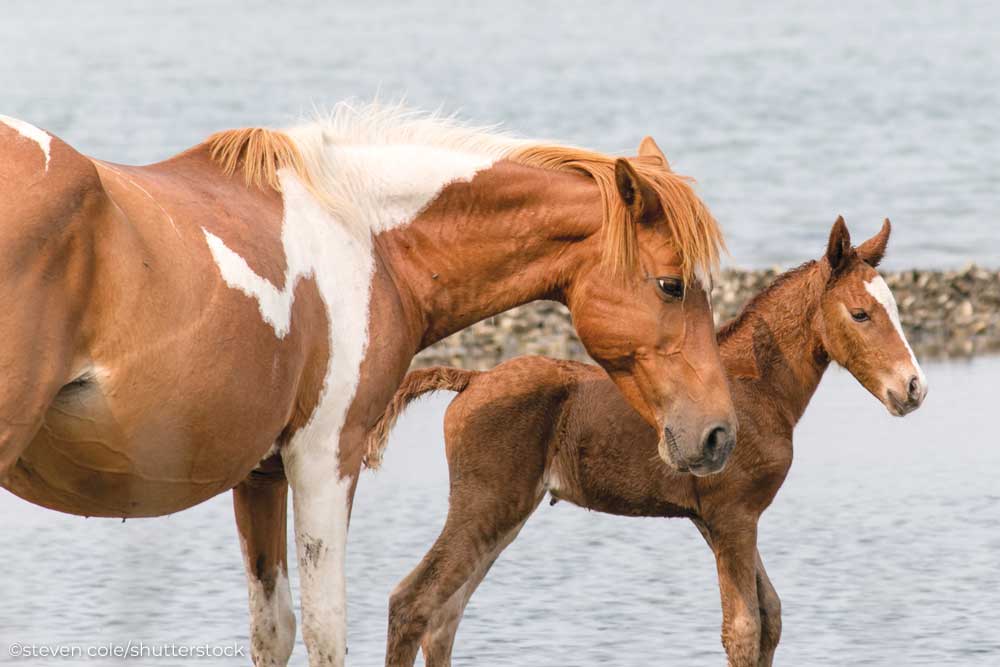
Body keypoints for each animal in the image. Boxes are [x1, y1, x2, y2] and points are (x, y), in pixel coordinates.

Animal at [0, 105, 736, 667]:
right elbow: (328, 630)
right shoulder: (326, 457)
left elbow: (274, 630)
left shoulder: (261, 476)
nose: (717, 433)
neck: (364, 234)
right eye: (671, 284)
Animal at [370, 217, 928, 664]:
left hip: (505, 512)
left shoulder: (721, 519)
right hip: (484, 503)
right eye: (860, 314)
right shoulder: (733, 516)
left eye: (897, 311)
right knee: (413, 602)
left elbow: (770, 615)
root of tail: (471, 380)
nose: (913, 388)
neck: (758, 386)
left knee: (445, 616)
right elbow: (744, 628)